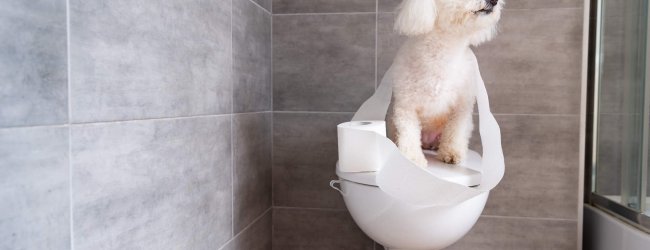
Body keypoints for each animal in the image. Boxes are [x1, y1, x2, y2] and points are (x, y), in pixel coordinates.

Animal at [384, 0, 502, 168]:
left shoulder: (461, 106)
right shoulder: (406, 104)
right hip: (392, 123)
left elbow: (455, 131)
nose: (494, 1)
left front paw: (451, 153)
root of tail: (428, 142)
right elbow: (409, 133)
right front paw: (412, 159)